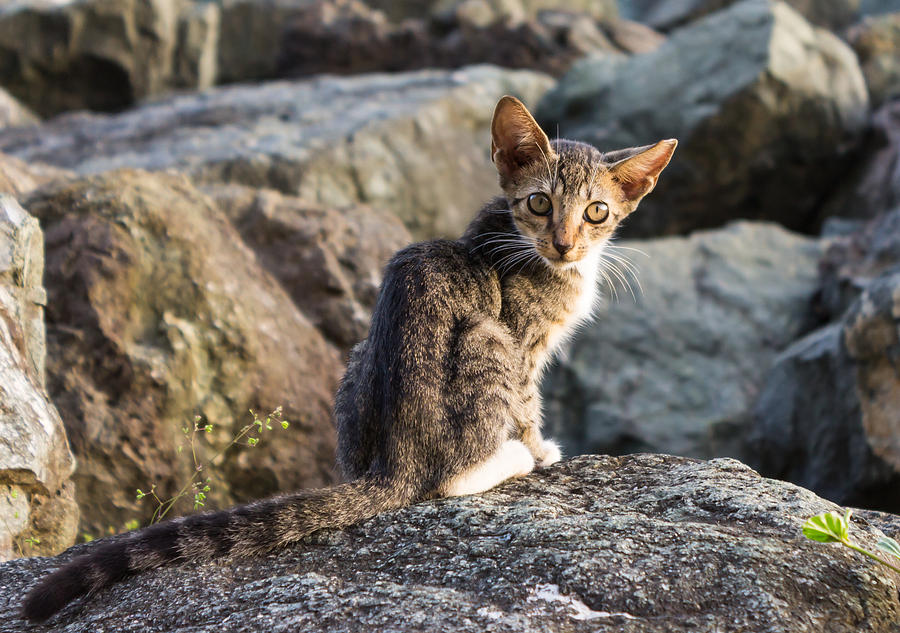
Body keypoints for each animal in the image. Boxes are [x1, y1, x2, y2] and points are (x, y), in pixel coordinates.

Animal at [21, 95, 676, 624]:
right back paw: (507, 459)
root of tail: (391, 465)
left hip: (360, 355)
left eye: (596, 212)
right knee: (447, 480)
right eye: (540, 203)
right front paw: (540, 448)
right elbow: (528, 402)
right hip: (484, 338)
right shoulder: (522, 342)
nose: (564, 244)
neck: (522, 244)